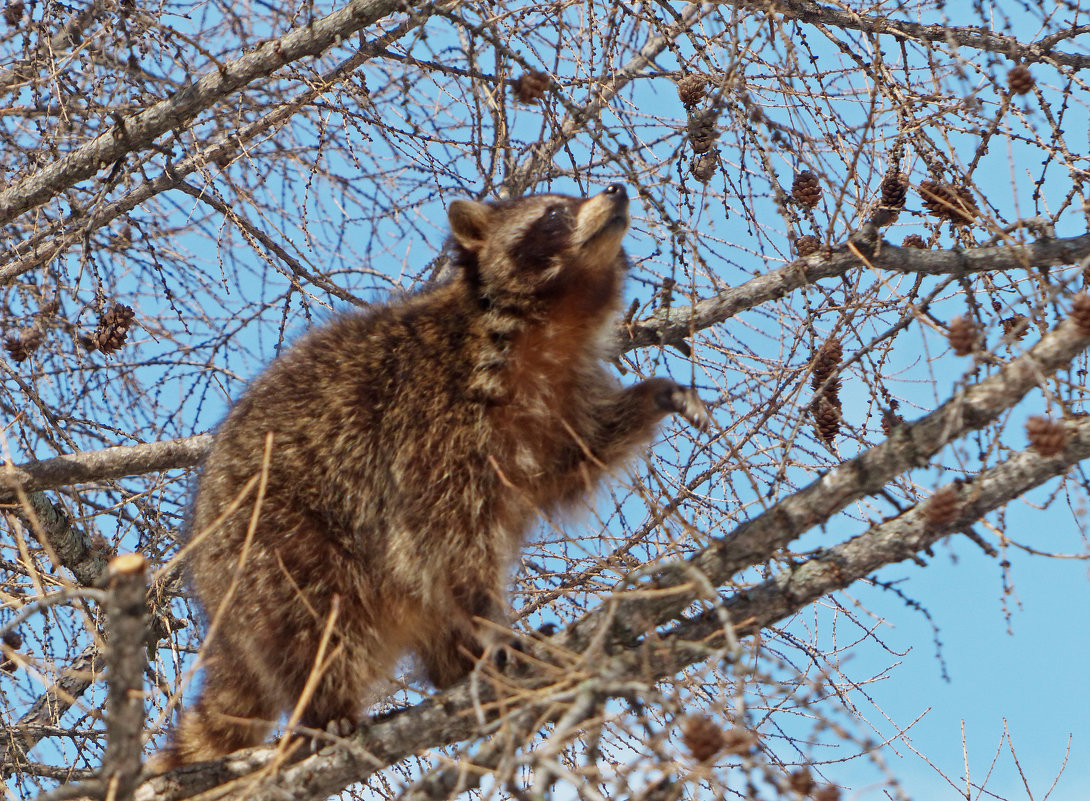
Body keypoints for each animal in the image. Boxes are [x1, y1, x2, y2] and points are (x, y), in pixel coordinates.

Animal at [153, 183, 706, 771]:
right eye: (554, 211)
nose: (616, 189)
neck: (551, 321)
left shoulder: (558, 398)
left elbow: (572, 462)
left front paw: (656, 394)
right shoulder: (427, 415)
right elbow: (443, 536)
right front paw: (490, 626)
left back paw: (454, 665)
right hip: (267, 541)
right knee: (314, 613)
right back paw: (326, 707)